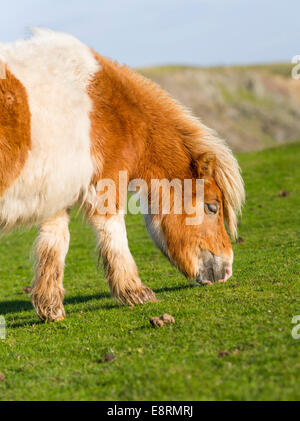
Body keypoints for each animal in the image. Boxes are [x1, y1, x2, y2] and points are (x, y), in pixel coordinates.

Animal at [0, 28, 244, 322]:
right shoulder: (106, 183)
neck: (112, 108)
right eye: (212, 207)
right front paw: (135, 292)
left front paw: (50, 307)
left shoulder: (58, 193)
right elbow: (114, 235)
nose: (226, 270)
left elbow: (54, 242)